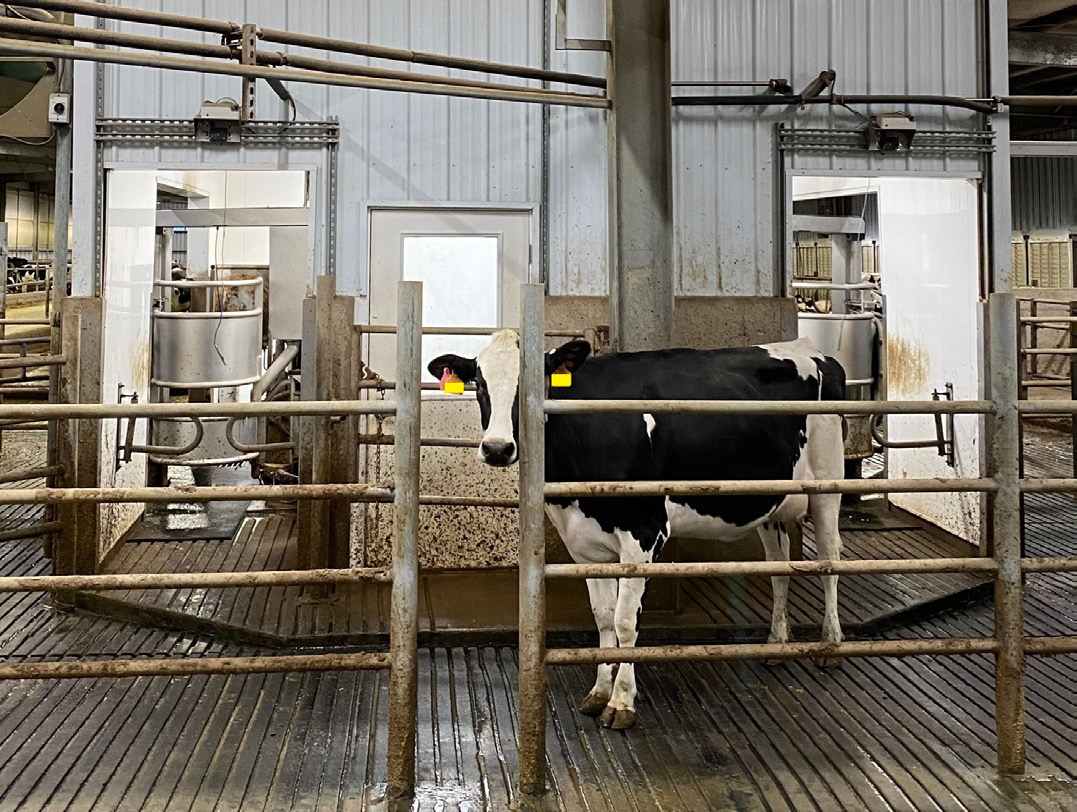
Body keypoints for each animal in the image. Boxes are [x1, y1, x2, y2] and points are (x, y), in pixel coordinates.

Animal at [428, 329, 848, 728]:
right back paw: (777, 643)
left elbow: (626, 621)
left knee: (830, 561)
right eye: (480, 384)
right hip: (771, 500)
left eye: (538, 382)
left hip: (827, 485)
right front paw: (599, 690)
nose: (497, 449)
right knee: (779, 567)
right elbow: (602, 616)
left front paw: (621, 702)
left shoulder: (644, 533)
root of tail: (808, 346)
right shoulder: (583, 544)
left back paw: (830, 646)